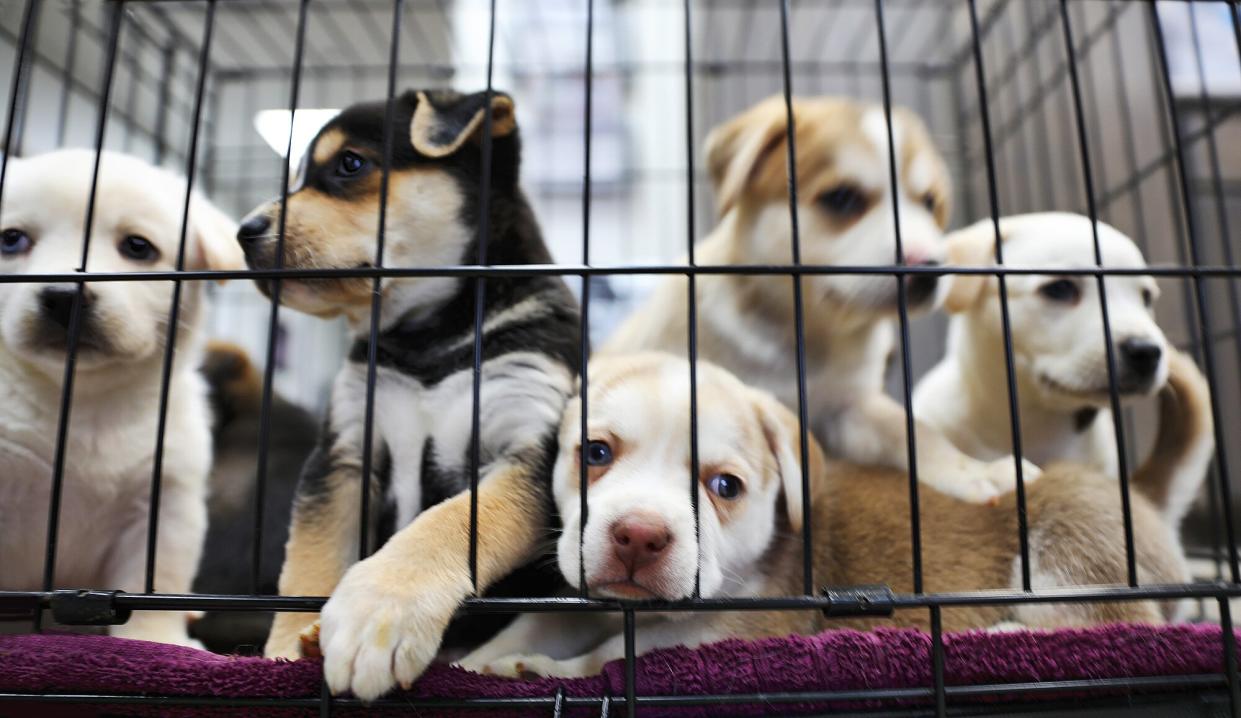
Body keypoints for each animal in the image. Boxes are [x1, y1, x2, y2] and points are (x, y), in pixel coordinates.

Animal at [0, 148, 244, 649]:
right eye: (11, 240)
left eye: (137, 247)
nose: (65, 297)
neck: (85, 402)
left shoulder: (166, 505)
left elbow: (156, 585)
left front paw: (160, 640)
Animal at [239, 86, 583, 699]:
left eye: (350, 164)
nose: (244, 231)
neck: (429, 338)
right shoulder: (343, 452)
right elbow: (309, 561)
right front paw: (282, 651)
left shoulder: (528, 444)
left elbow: (451, 519)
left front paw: (379, 611)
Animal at [461, 354, 1196, 679]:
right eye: (595, 452)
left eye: (724, 486)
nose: (639, 536)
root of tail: (1139, 495)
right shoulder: (582, 598)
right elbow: (533, 621)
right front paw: (477, 661)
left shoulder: (729, 629)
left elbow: (617, 657)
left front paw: (545, 671)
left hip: (1069, 542)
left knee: (1113, 620)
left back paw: (999, 634)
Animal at [600, 96, 1037, 505]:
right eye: (841, 198)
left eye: (929, 203)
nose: (929, 269)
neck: (804, 332)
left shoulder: (852, 408)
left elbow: (913, 431)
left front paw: (973, 470)